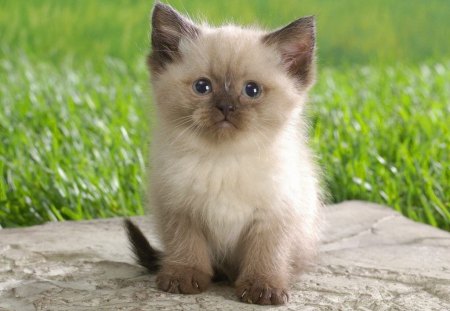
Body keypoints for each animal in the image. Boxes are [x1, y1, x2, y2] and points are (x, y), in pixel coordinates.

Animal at [125, 1, 324, 304]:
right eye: (202, 87)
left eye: (252, 90)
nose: (226, 107)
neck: (224, 159)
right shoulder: (180, 209)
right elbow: (187, 246)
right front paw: (184, 278)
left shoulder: (273, 215)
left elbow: (266, 254)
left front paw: (263, 288)